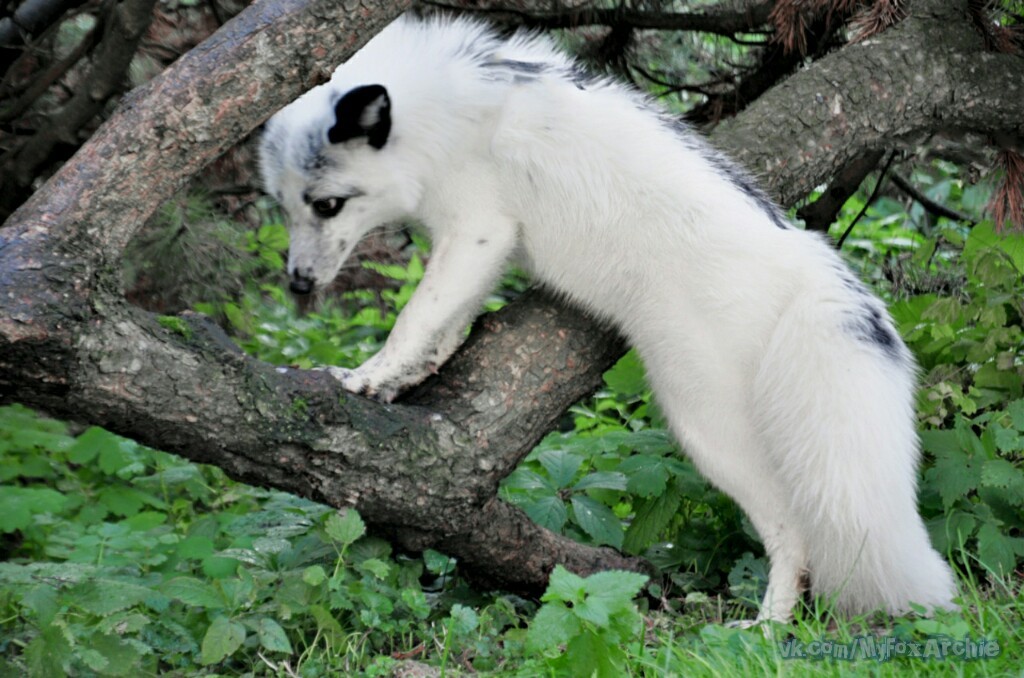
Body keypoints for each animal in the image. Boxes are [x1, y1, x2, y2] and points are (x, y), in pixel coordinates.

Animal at [258, 13, 958, 622]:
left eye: (327, 204)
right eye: (284, 207)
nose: (297, 282)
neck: (441, 114)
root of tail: (811, 266)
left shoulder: (479, 229)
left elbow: (413, 318)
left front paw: (365, 377)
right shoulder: (476, 249)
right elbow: (444, 328)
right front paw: (403, 382)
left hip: (703, 424)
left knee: (794, 537)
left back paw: (767, 627)